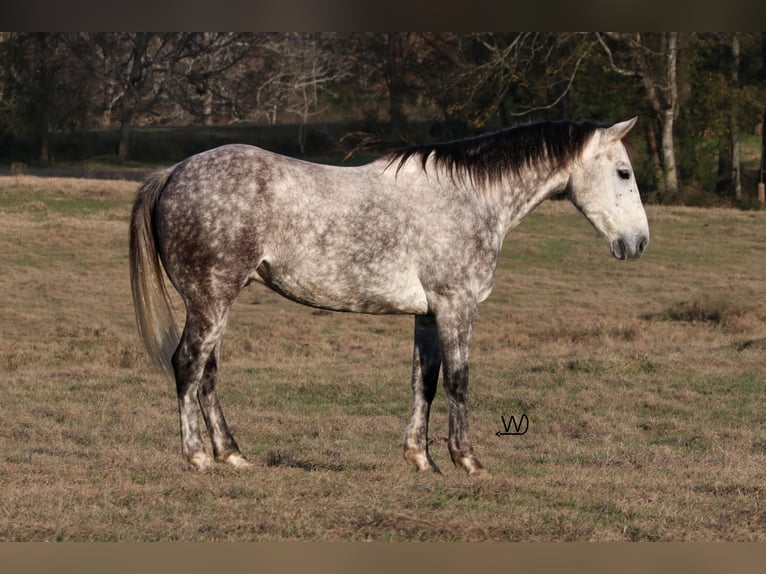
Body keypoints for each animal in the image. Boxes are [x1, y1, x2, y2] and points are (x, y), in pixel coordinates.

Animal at [129, 118, 652, 476]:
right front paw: (468, 461)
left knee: (208, 374)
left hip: (217, 303)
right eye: (624, 173)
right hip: (210, 300)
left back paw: (232, 454)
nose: (639, 243)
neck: (469, 198)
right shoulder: (457, 306)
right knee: (187, 366)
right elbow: (458, 381)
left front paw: (422, 460)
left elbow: (425, 381)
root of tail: (172, 173)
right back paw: (198, 457)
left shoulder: (429, 313)